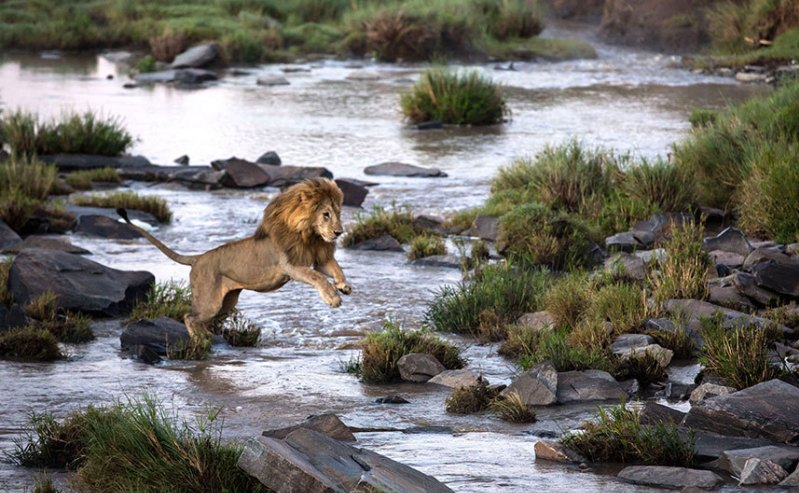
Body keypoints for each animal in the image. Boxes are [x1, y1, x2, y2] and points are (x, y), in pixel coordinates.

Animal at [117, 177, 351, 345]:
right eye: (326, 214)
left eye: (339, 213)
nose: (339, 232)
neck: (311, 236)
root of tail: (197, 259)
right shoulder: (290, 265)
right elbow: (317, 277)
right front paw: (333, 298)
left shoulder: (319, 258)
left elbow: (334, 268)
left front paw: (343, 286)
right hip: (210, 302)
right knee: (188, 315)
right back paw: (200, 340)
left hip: (226, 303)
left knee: (201, 318)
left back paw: (205, 337)